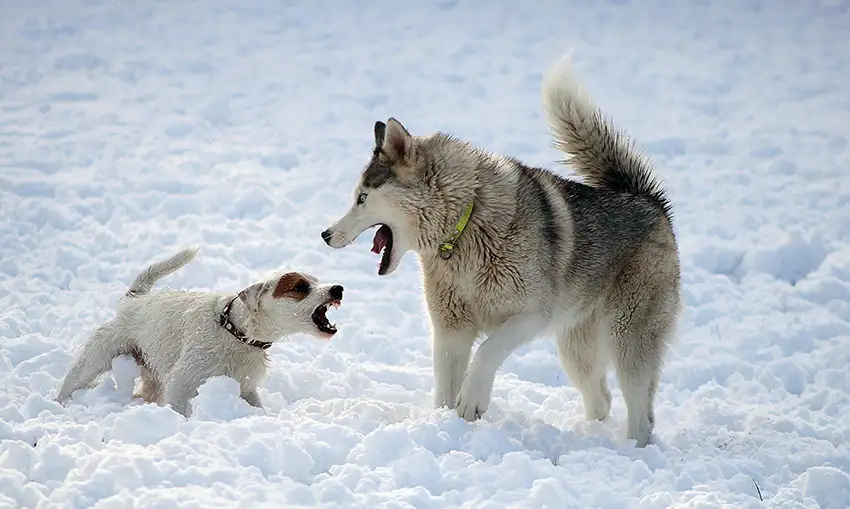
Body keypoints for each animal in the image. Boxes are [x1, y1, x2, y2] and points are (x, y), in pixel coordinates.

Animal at [54, 246, 342, 416]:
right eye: (300, 287)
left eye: (316, 281)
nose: (337, 288)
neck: (235, 331)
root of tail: (134, 300)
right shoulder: (181, 384)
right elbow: (179, 409)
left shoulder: (246, 388)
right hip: (93, 362)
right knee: (70, 385)